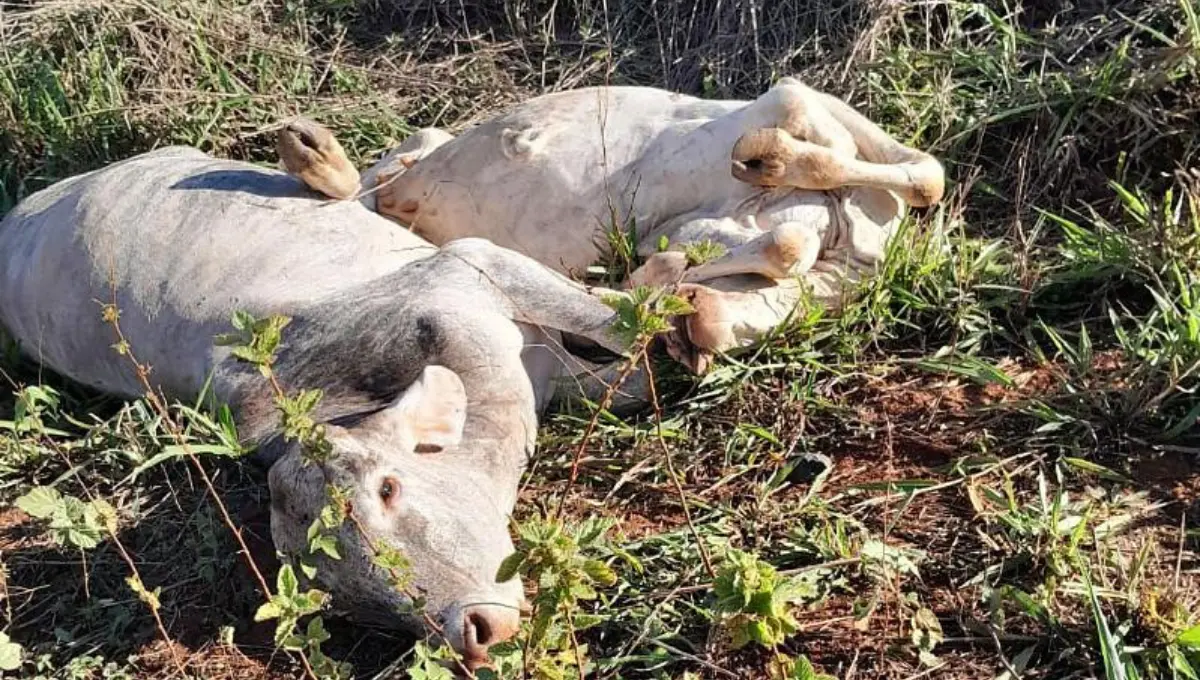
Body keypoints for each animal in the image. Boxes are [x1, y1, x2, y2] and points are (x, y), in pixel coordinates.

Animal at [0, 147, 667, 670]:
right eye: (349, 602)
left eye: (388, 489)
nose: (473, 632)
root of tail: (20, 215)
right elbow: (628, 375)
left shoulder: (471, 263)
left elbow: (617, 331)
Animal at [279, 77, 945, 372]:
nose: (687, 333)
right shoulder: (795, 101)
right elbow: (924, 175)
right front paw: (769, 158)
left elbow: (781, 246)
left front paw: (654, 283)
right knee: (393, 166)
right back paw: (312, 151)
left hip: (413, 203)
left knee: (395, 173)